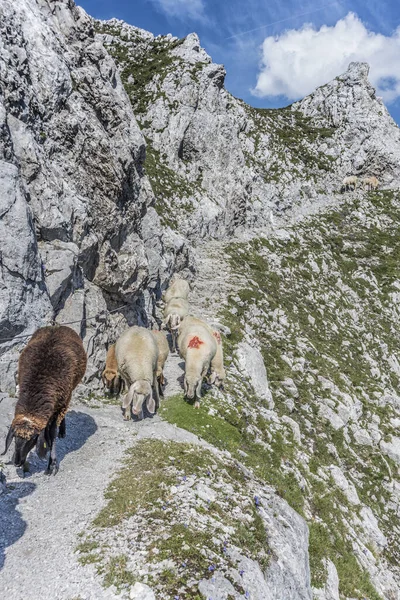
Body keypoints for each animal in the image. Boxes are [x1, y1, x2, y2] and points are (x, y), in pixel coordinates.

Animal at [2, 326, 86, 476]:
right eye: (15, 438)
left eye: (32, 440)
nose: (17, 462)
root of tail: (56, 326)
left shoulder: (59, 404)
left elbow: (52, 433)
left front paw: (52, 464)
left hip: (67, 395)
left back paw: (62, 431)